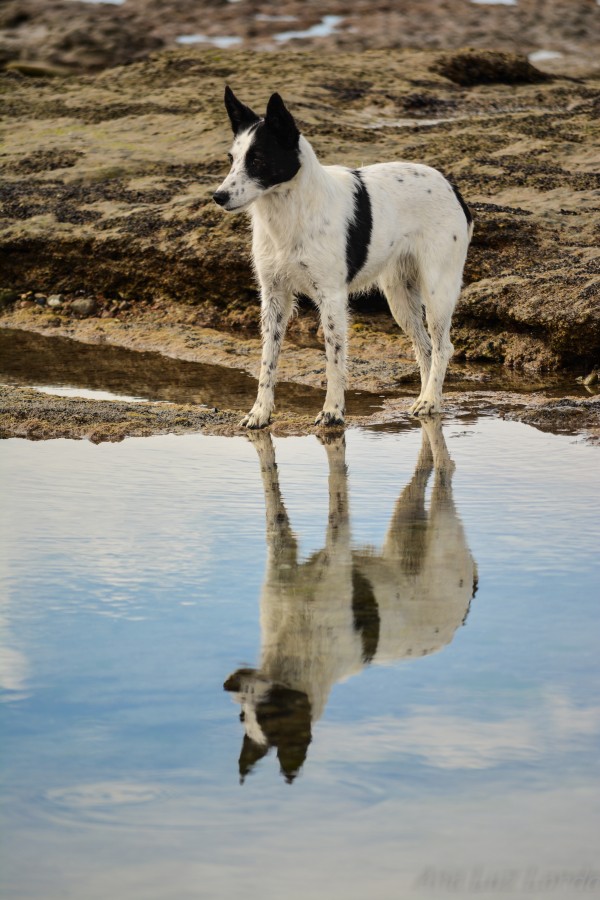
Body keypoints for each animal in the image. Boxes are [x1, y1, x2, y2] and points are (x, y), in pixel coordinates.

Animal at [213, 89, 472, 428]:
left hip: (437, 290)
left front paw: (333, 410)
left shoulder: (331, 298)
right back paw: (426, 397)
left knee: (443, 347)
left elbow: (334, 359)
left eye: (256, 160)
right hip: (400, 296)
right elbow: (268, 360)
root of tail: (451, 186)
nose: (218, 196)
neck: (290, 212)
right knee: (425, 348)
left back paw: (430, 400)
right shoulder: (274, 297)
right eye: (231, 160)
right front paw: (261, 411)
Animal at [225, 422, 478, 780]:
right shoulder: (281, 564)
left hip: (440, 528)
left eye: (268, 713)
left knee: (445, 470)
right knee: (423, 468)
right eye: (242, 716)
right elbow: (273, 507)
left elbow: (336, 489)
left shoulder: (338, 546)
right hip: (406, 526)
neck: (300, 648)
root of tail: (468, 599)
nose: (228, 685)